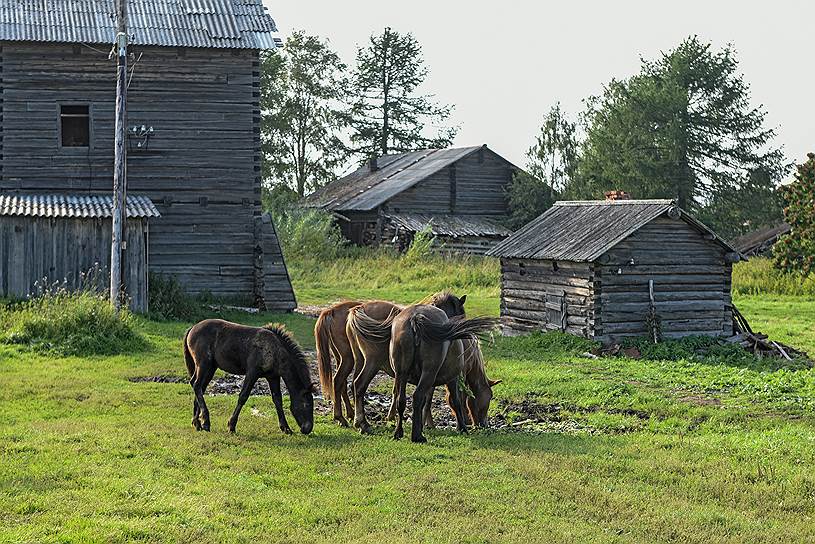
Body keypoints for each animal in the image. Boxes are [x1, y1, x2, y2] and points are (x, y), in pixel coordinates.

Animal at [185, 318, 316, 434]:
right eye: (307, 404)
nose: (307, 429)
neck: (274, 349)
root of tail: (192, 328)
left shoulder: (273, 377)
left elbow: (277, 400)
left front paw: (286, 428)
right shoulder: (252, 373)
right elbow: (243, 396)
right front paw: (231, 426)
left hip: (211, 367)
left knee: (198, 386)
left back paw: (197, 423)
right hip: (204, 364)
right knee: (197, 385)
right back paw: (206, 422)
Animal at [314, 292, 468, 428]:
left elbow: (399, 392)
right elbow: (426, 398)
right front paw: (427, 423)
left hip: (355, 359)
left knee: (346, 384)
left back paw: (348, 416)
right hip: (363, 361)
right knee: (349, 383)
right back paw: (355, 421)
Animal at [346, 304, 494, 440]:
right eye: (488, 397)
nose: (483, 424)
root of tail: (415, 317)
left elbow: (425, 402)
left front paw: (424, 425)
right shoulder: (454, 378)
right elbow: (455, 400)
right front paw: (461, 427)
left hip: (395, 371)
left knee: (392, 397)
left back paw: (388, 430)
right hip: (385, 365)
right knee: (414, 396)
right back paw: (416, 436)